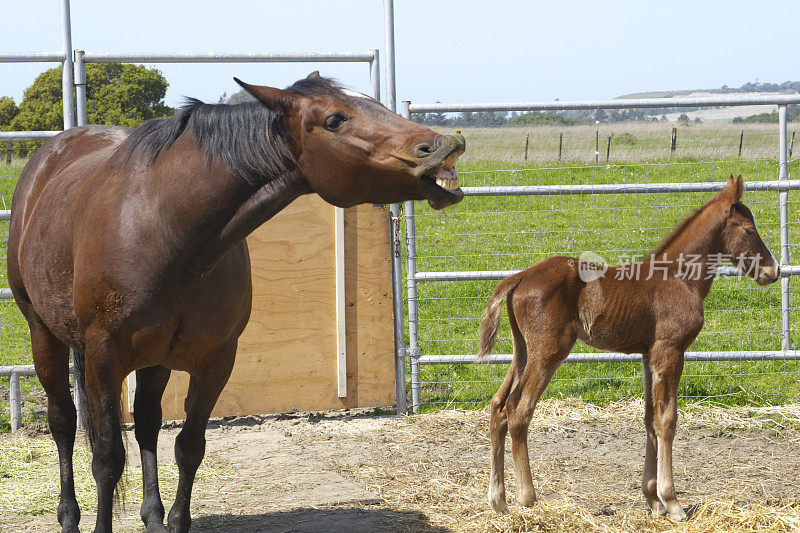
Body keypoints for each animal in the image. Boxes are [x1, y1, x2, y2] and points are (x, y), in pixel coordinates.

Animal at [6, 74, 466, 532]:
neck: (166, 226)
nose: (444, 144)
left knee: (148, 425)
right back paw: (68, 515)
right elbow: (107, 457)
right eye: (335, 119)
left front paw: (175, 519)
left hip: (154, 360)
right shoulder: (105, 357)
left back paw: (152, 515)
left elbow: (189, 447)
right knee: (63, 423)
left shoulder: (216, 360)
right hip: (44, 335)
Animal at [478, 176, 780, 520]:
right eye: (749, 230)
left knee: (498, 406)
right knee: (519, 409)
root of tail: (520, 276)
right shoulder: (670, 350)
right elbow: (667, 420)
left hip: (523, 349)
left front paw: (652, 500)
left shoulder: (648, 354)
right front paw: (672, 502)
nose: (773, 271)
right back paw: (527, 498)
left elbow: (650, 418)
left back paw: (498, 499)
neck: (678, 277)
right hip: (549, 350)